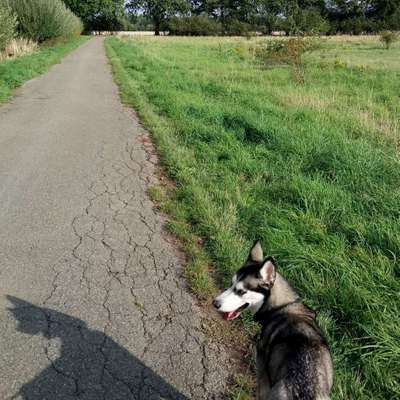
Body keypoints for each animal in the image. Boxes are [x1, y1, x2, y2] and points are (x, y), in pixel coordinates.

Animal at [214, 241, 332, 400]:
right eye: (231, 284)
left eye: (241, 291)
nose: (215, 303)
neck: (281, 307)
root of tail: (303, 390)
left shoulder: (262, 373)